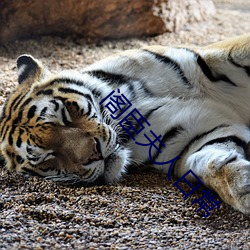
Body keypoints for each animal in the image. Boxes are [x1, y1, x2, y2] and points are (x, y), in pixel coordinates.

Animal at [0, 32, 250, 215]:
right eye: (48, 158)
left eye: (64, 115)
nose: (95, 153)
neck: (130, 106)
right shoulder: (190, 137)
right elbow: (210, 162)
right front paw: (243, 188)